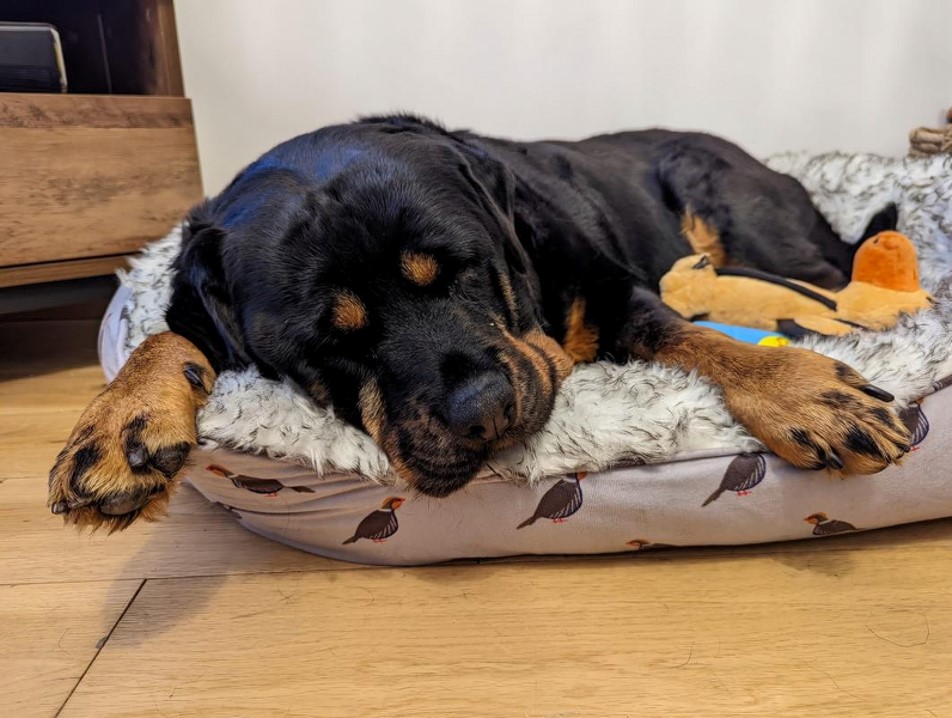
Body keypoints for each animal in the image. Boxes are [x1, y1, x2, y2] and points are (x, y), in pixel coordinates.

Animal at [48, 115, 912, 532]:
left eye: (459, 267)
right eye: (328, 341)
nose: (482, 410)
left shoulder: (610, 286)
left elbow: (686, 336)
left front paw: (801, 390)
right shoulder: (197, 291)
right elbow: (170, 333)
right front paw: (120, 423)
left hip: (738, 210)